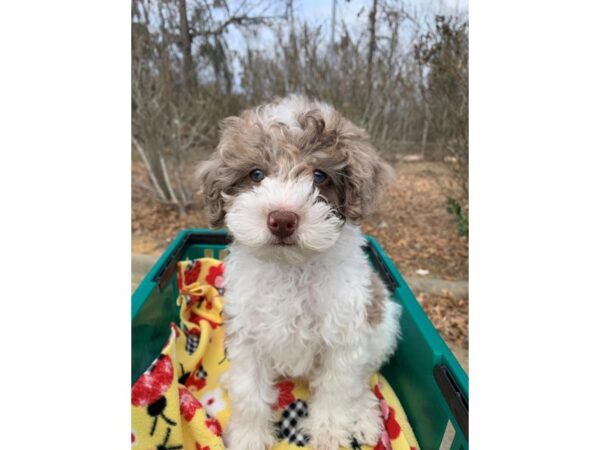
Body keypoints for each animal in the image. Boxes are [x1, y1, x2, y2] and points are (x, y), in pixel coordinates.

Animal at [199, 95, 400, 450]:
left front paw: (329, 433)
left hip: (383, 327)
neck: (291, 268)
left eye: (319, 176)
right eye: (256, 174)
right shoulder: (248, 333)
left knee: (362, 381)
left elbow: (337, 388)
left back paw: (365, 416)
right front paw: (249, 436)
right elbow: (249, 392)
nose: (282, 219)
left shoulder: (344, 336)